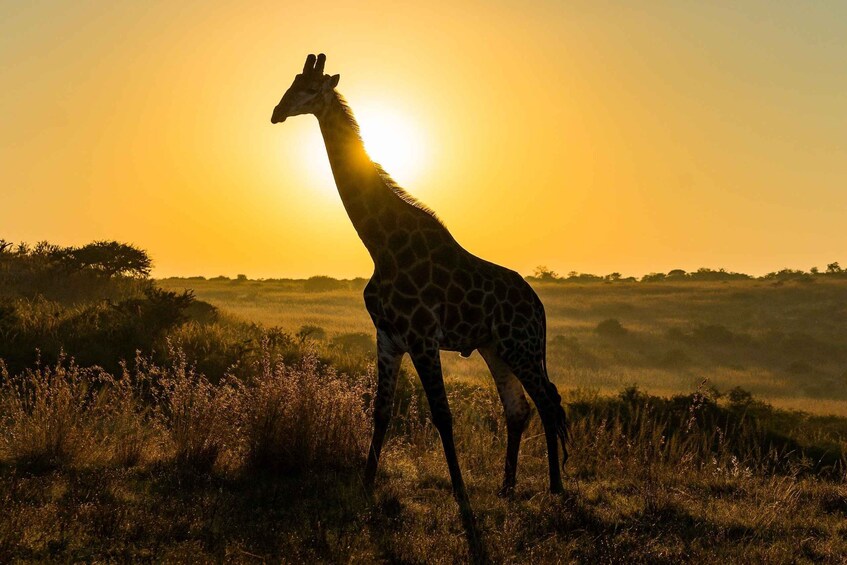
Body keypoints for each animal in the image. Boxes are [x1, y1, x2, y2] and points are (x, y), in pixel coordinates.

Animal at [271, 54, 568, 498]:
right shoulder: (388, 336)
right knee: (518, 409)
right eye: (290, 84)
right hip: (495, 347)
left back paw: (555, 488)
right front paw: (366, 486)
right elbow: (381, 411)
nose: (276, 112)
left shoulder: (423, 337)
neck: (381, 246)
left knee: (548, 402)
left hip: (523, 346)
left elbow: (442, 414)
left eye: (308, 89)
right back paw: (507, 487)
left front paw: (462, 495)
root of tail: (539, 307)